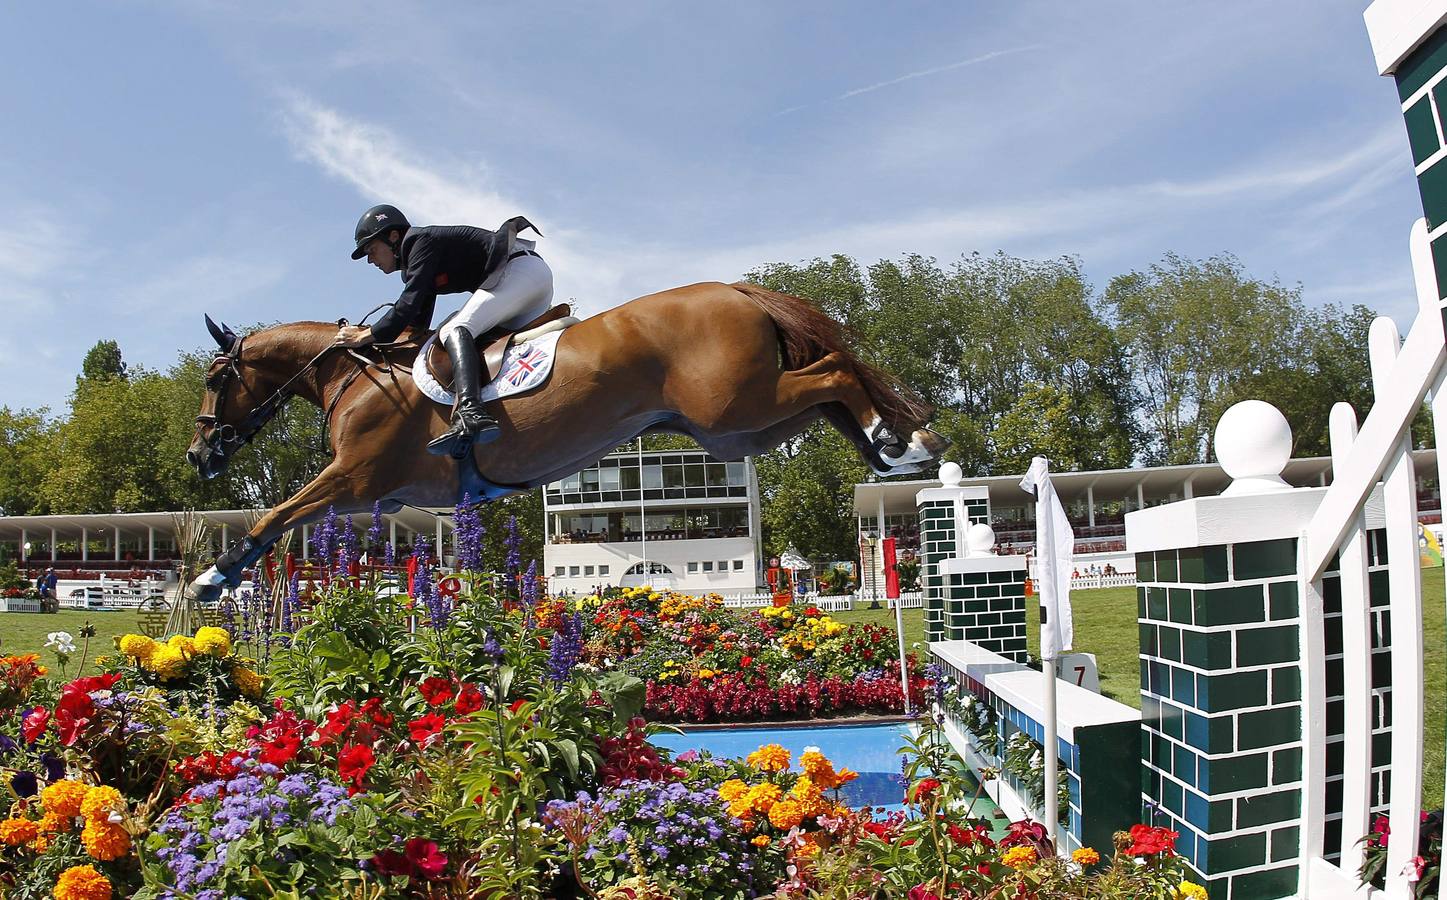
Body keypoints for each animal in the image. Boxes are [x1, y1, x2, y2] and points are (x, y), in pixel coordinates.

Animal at [183, 285, 949, 601]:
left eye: (217, 379)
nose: (198, 455)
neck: (354, 374)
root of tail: (737, 291)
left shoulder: (355, 478)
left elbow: (275, 512)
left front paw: (211, 578)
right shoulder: (376, 496)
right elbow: (287, 519)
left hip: (737, 404)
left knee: (837, 370)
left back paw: (906, 440)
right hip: (739, 421)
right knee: (830, 393)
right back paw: (894, 445)